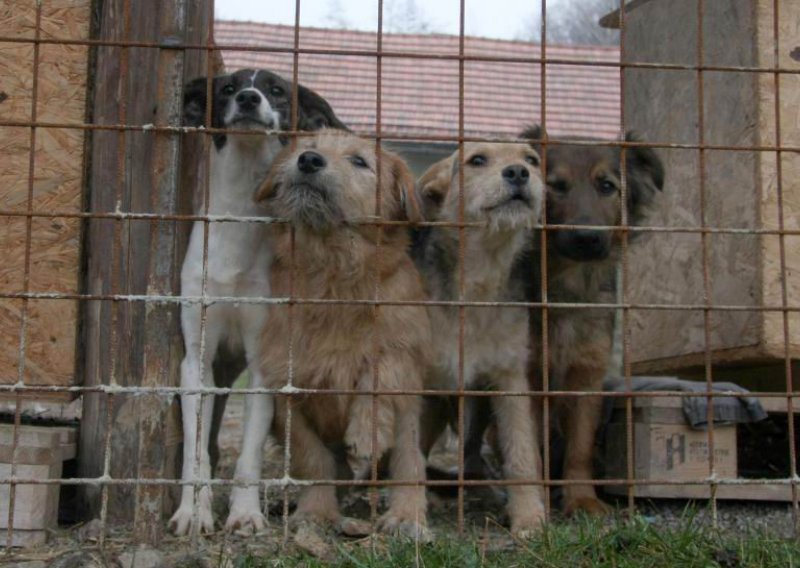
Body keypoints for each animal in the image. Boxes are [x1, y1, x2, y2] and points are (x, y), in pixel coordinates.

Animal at [170, 69, 346, 536]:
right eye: (228, 88)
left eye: (277, 90)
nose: (249, 98)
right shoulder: (196, 360)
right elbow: (195, 450)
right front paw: (192, 512)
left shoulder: (263, 364)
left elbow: (248, 457)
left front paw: (246, 514)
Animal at [256, 131, 432, 540]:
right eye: (308, 145)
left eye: (359, 161)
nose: (308, 160)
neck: (334, 273)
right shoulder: (284, 384)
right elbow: (312, 459)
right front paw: (316, 513)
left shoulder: (404, 349)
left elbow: (377, 374)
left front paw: (366, 434)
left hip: (409, 427)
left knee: (410, 466)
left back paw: (406, 517)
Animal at [412, 142, 552, 536]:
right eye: (476, 160)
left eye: (532, 160)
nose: (519, 173)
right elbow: (407, 455)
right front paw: (407, 514)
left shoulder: (510, 379)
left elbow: (522, 454)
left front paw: (529, 517)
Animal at [520, 125, 664, 516]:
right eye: (556, 185)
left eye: (607, 186)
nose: (587, 238)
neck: (568, 287)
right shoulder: (530, 376)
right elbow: (529, 448)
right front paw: (535, 499)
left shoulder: (587, 376)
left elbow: (580, 447)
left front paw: (582, 499)